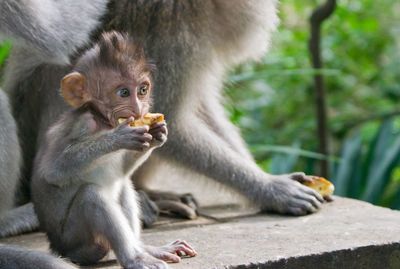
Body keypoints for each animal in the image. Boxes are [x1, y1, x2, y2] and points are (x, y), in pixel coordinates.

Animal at [30, 31, 196, 268]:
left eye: (143, 90)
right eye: (124, 92)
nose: (139, 109)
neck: (103, 122)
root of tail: (59, 248)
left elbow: (123, 171)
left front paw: (157, 135)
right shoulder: (82, 124)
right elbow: (55, 171)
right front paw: (118, 137)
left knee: (124, 185)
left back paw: (147, 249)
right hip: (78, 242)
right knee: (91, 197)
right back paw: (134, 258)